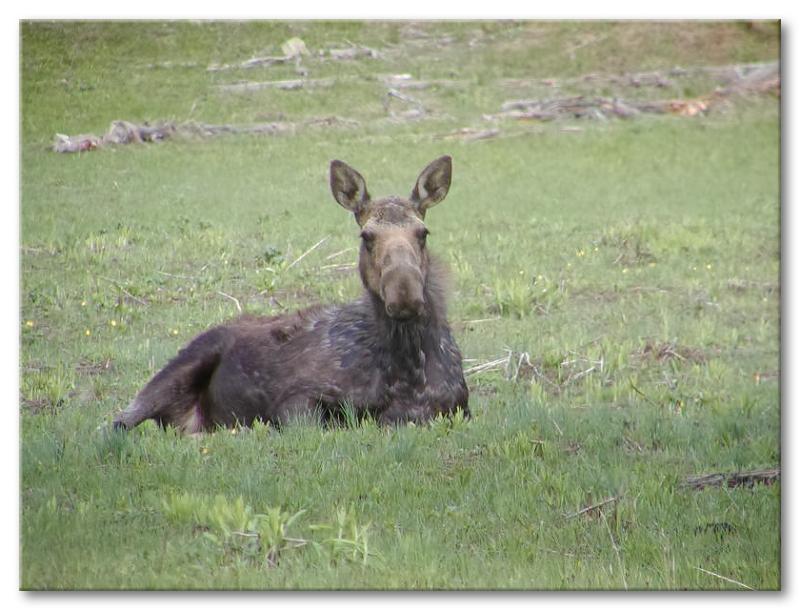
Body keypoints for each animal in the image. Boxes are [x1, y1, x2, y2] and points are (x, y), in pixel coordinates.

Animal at [115, 157, 472, 432]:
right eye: (367, 236)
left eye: (422, 233)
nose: (405, 295)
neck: (407, 369)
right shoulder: (296, 400)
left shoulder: (457, 407)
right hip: (178, 369)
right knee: (118, 422)